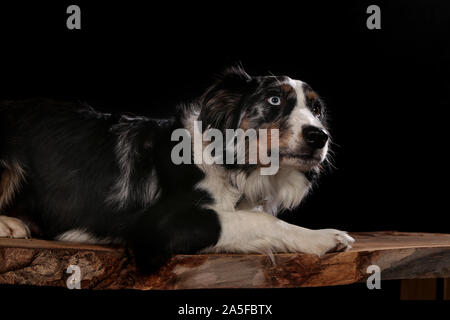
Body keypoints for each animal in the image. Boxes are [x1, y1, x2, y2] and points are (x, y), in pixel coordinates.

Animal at [0, 67, 354, 272]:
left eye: (317, 109)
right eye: (274, 100)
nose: (319, 136)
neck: (227, 162)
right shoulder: (156, 225)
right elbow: (260, 219)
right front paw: (323, 236)